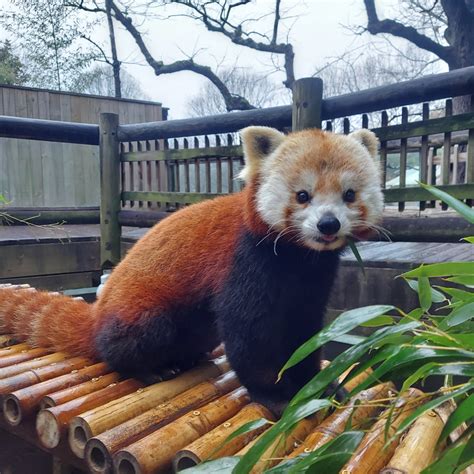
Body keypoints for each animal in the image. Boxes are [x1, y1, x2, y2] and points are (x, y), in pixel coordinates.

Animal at [0, 126, 384, 414]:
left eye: (349, 194)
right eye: (303, 195)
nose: (328, 224)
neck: (297, 258)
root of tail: (98, 314)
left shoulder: (313, 283)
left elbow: (303, 336)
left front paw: (319, 385)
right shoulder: (245, 264)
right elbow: (249, 337)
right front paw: (275, 396)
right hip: (142, 311)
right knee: (130, 340)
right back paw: (150, 368)